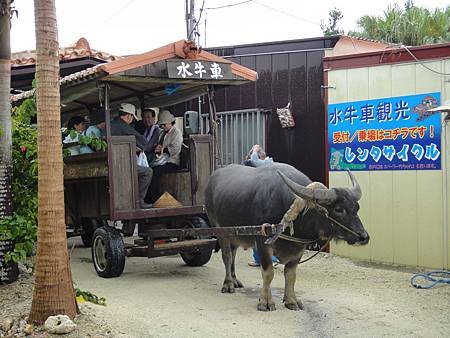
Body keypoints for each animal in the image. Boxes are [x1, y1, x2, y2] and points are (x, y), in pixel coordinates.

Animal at [206, 163, 370, 312]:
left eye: (357, 207)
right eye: (338, 209)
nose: (363, 236)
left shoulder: (299, 248)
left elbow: (291, 275)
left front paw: (291, 301)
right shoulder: (263, 243)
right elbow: (268, 273)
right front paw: (265, 302)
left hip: (234, 234)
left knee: (233, 253)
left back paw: (235, 280)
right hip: (220, 230)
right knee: (227, 256)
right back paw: (228, 284)